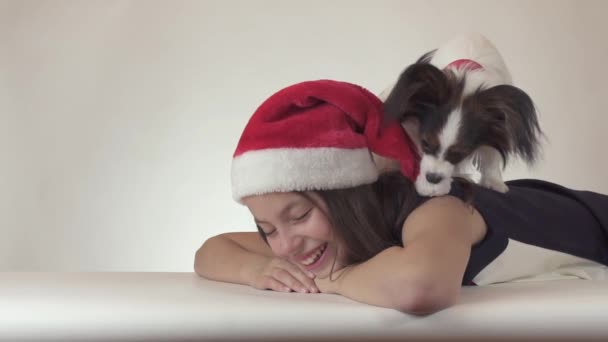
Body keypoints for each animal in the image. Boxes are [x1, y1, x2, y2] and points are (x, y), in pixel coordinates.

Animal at [380, 34, 540, 198]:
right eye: (425, 143)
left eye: (460, 154)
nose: (433, 178)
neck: (464, 90)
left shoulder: (498, 126)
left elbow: (491, 153)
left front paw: (494, 182)